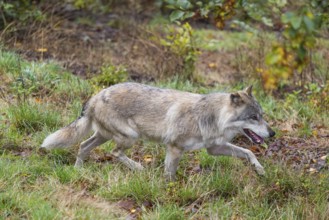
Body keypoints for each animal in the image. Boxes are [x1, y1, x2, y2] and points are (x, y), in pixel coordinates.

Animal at [42, 82, 276, 179]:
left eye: (262, 115)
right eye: (254, 117)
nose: (273, 134)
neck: (211, 117)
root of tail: (97, 95)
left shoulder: (214, 149)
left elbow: (248, 152)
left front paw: (259, 170)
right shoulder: (174, 148)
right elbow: (169, 174)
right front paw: (169, 190)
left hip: (103, 136)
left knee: (83, 146)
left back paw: (77, 171)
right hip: (130, 137)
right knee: (114, 153)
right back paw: (138, 168)